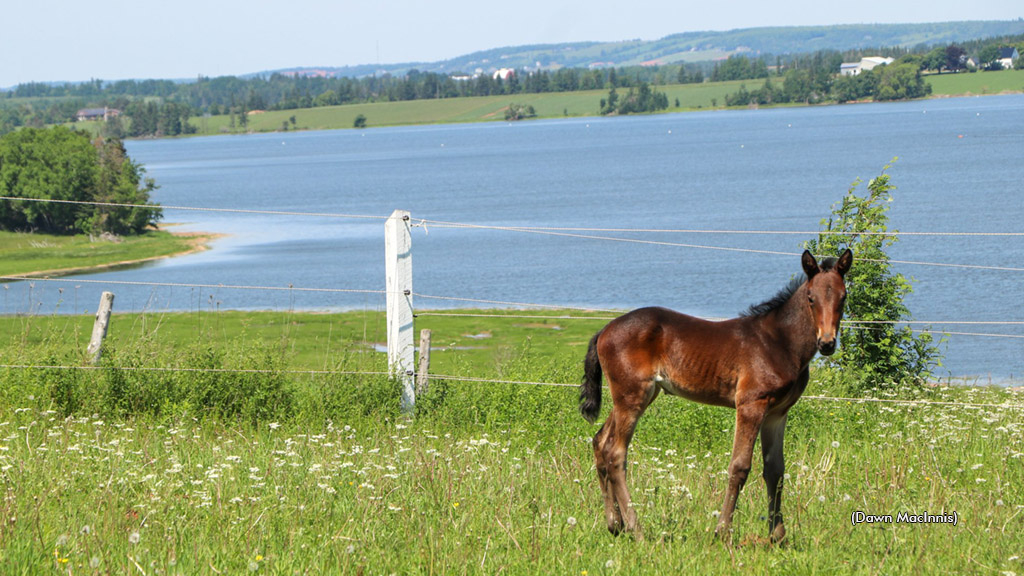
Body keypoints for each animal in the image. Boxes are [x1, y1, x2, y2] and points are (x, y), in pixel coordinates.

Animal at [581, 249, 851, 541]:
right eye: (811, 298)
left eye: (843, 297)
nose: (827, 343)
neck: (779, 342)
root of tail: (604, 331)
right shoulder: (751, 405)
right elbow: (740, 467)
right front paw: (723, 531)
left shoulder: (778, 413)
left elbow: (775, 470)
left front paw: (777, 535)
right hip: (633, 396)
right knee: (616, 454)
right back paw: (636, 529)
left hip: (636, 395)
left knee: (600, 442)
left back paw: (615, 524)